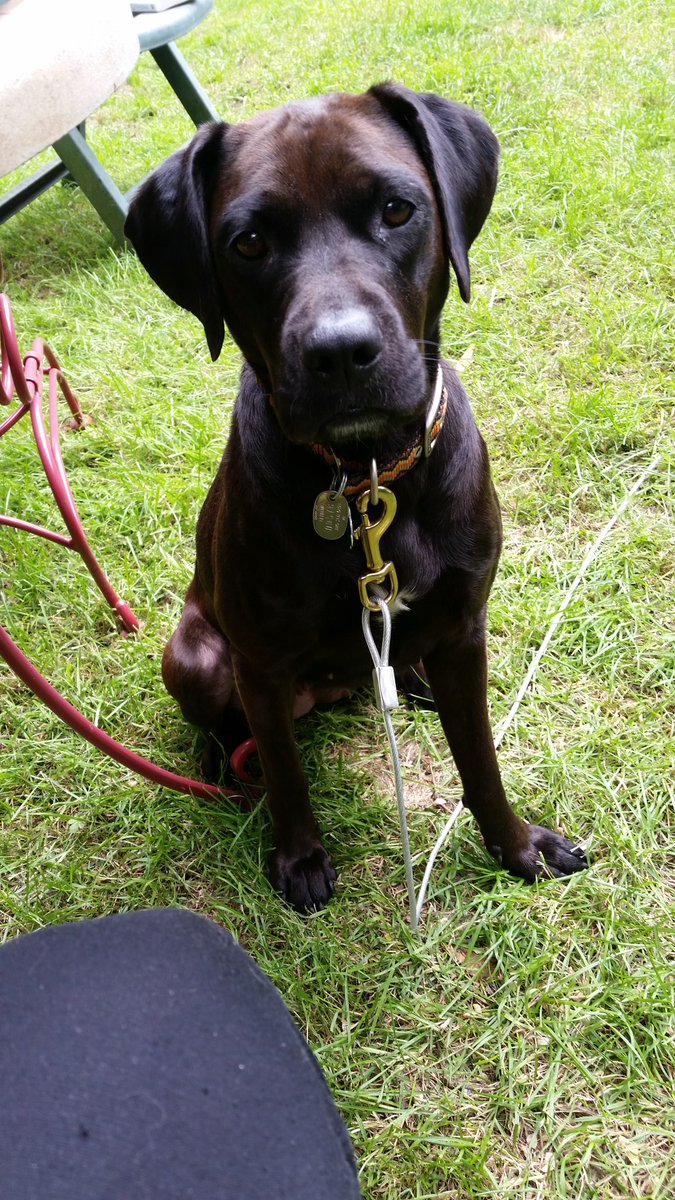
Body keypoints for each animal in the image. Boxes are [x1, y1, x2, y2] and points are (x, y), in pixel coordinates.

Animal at [123, 84, 586, 907]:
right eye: (248, 243)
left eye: (398, 210)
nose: (341, 352)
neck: (367, 480)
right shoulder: (261, 665)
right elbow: (284, 776)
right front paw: (299, 857)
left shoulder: (465, 630)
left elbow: (480, 760)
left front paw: (516, 846)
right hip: (197, 657)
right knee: (232, 734)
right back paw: (217, 763)